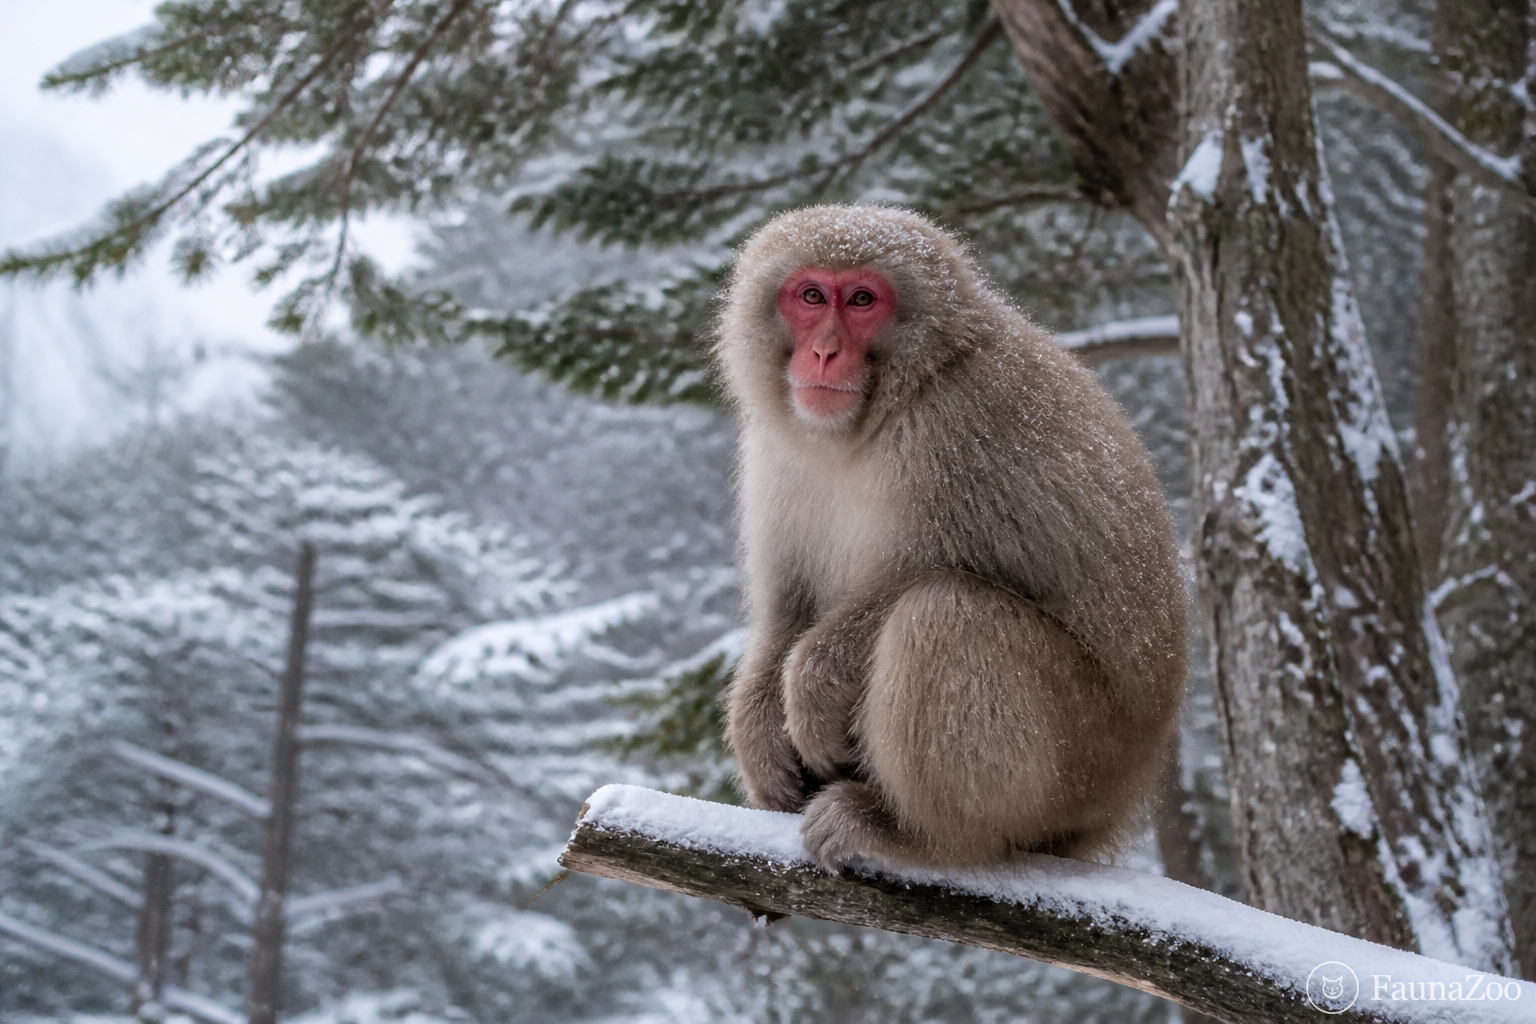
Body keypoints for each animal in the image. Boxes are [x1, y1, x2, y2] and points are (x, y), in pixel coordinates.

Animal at [715, 205, 1188, 872]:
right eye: (810, 296)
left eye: (861, 300)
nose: (824, 352)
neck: (878, 416)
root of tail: (1124, 795)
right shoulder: (776, 455)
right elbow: (789, 604)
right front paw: (758, 733)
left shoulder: (956, 430)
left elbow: (926, 572)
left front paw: (811, 681)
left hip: (1082, 760)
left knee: (946, 610)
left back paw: (918, 834)